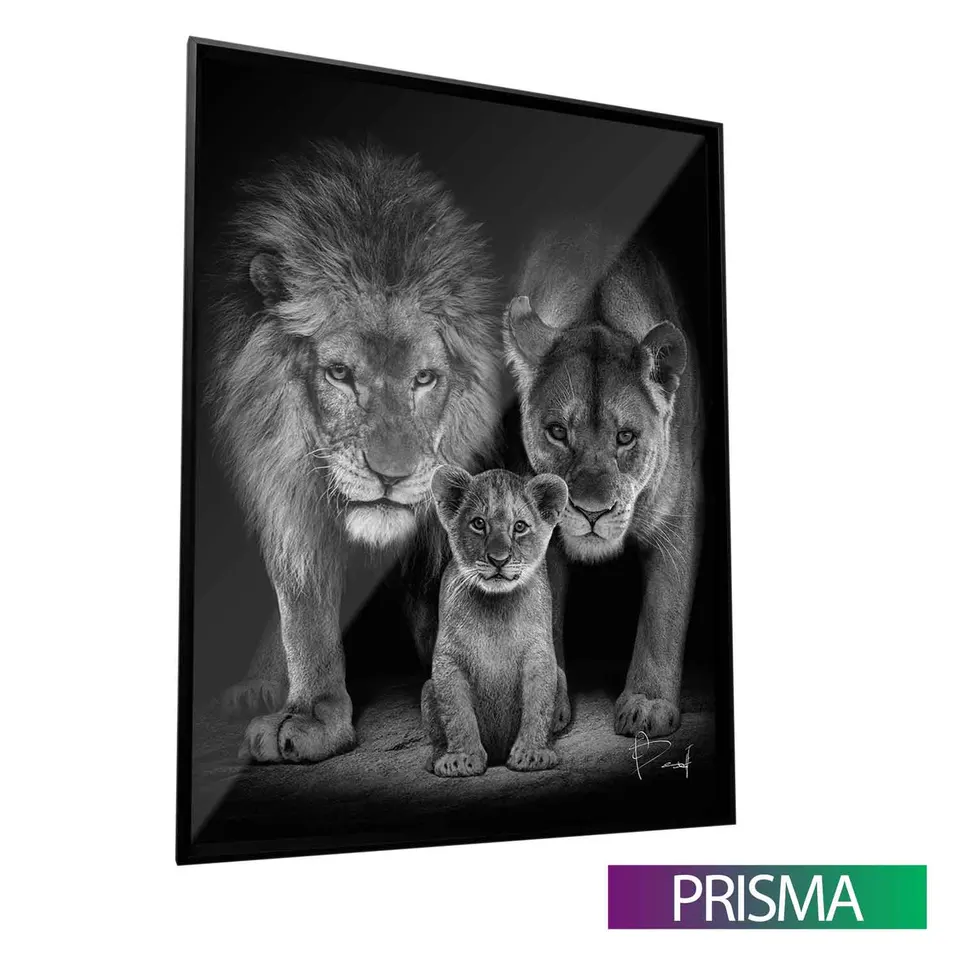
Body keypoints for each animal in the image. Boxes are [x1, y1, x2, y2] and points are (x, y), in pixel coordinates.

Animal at [208, 142, 503, 763]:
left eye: (424, 378)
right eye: (340, 374)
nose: (392, 476)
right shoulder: (283, 481)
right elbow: (303, 607)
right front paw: (311, 715)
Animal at [422, 467, 570, 777]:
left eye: (520, 527)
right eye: (479, 523)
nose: (498, 559)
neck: (496, 606)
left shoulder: (538, 654)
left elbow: (538, 705)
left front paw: (532, 754)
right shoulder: (447, 659)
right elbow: (457, 714)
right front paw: (461, 759)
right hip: (426, 688)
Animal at [503, 231, 703, 738]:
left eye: (625, 437)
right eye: (558, 432)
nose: (592, 512)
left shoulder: (678, 519)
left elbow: (663, 614)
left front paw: (648, 704)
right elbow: (542, 611)